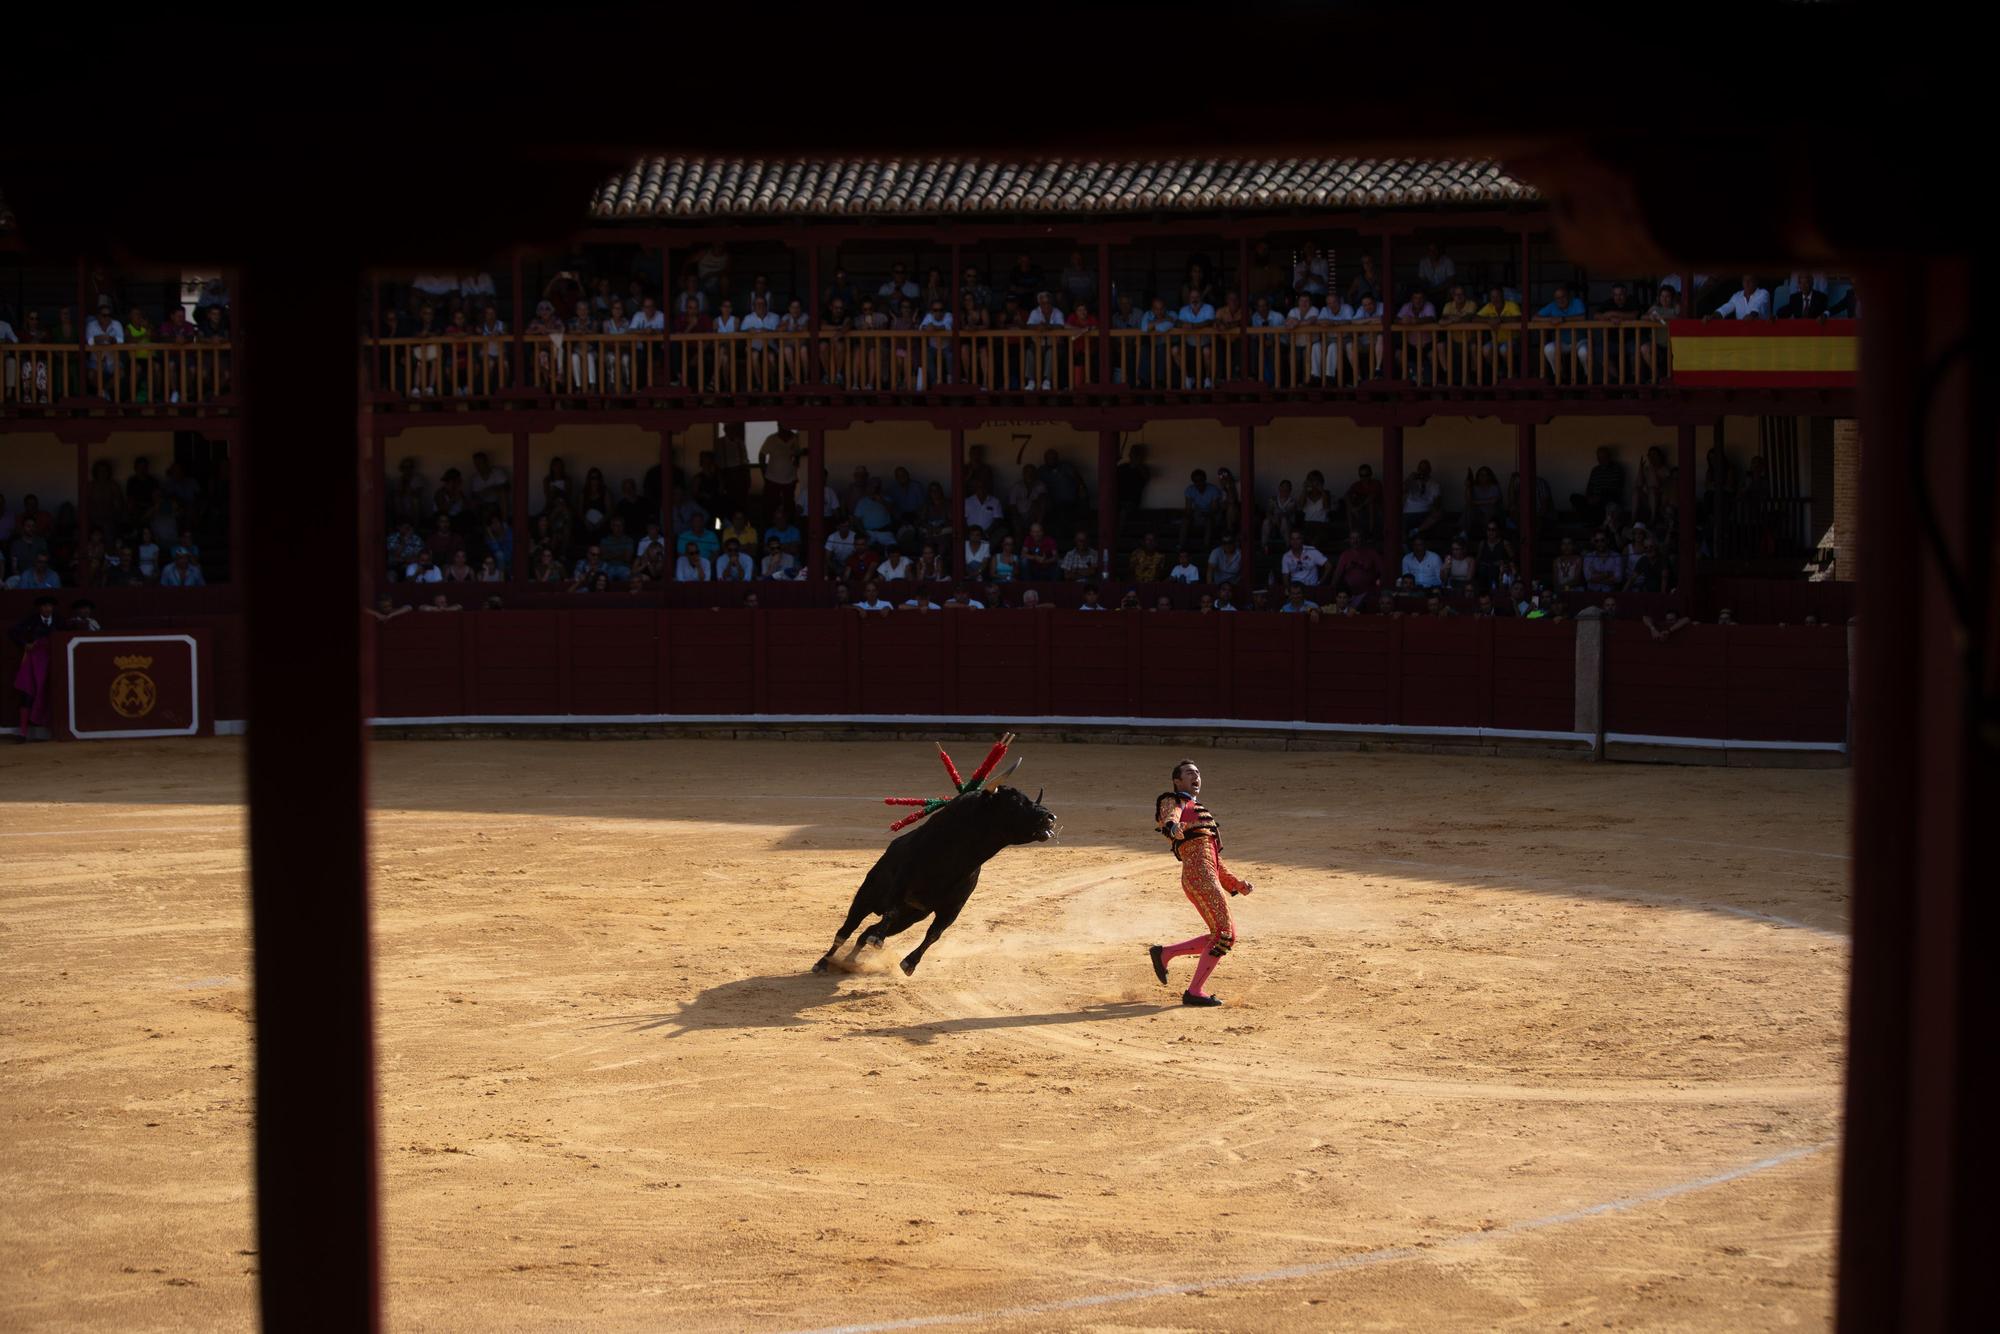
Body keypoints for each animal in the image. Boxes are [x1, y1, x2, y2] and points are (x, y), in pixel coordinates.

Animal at [812, 784, 1064, 980]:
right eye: (1014, 803)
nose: (1050, 818)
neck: (956, 856)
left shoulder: (953, 907)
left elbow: (935, 933)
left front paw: (909, 964)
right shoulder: (901, 884)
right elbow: (890, 912)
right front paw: (880, 944)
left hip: (909, 918)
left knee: (866, 931)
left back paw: (850, 962)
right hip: (866, 896)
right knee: (846, 930)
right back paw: (823, 963)